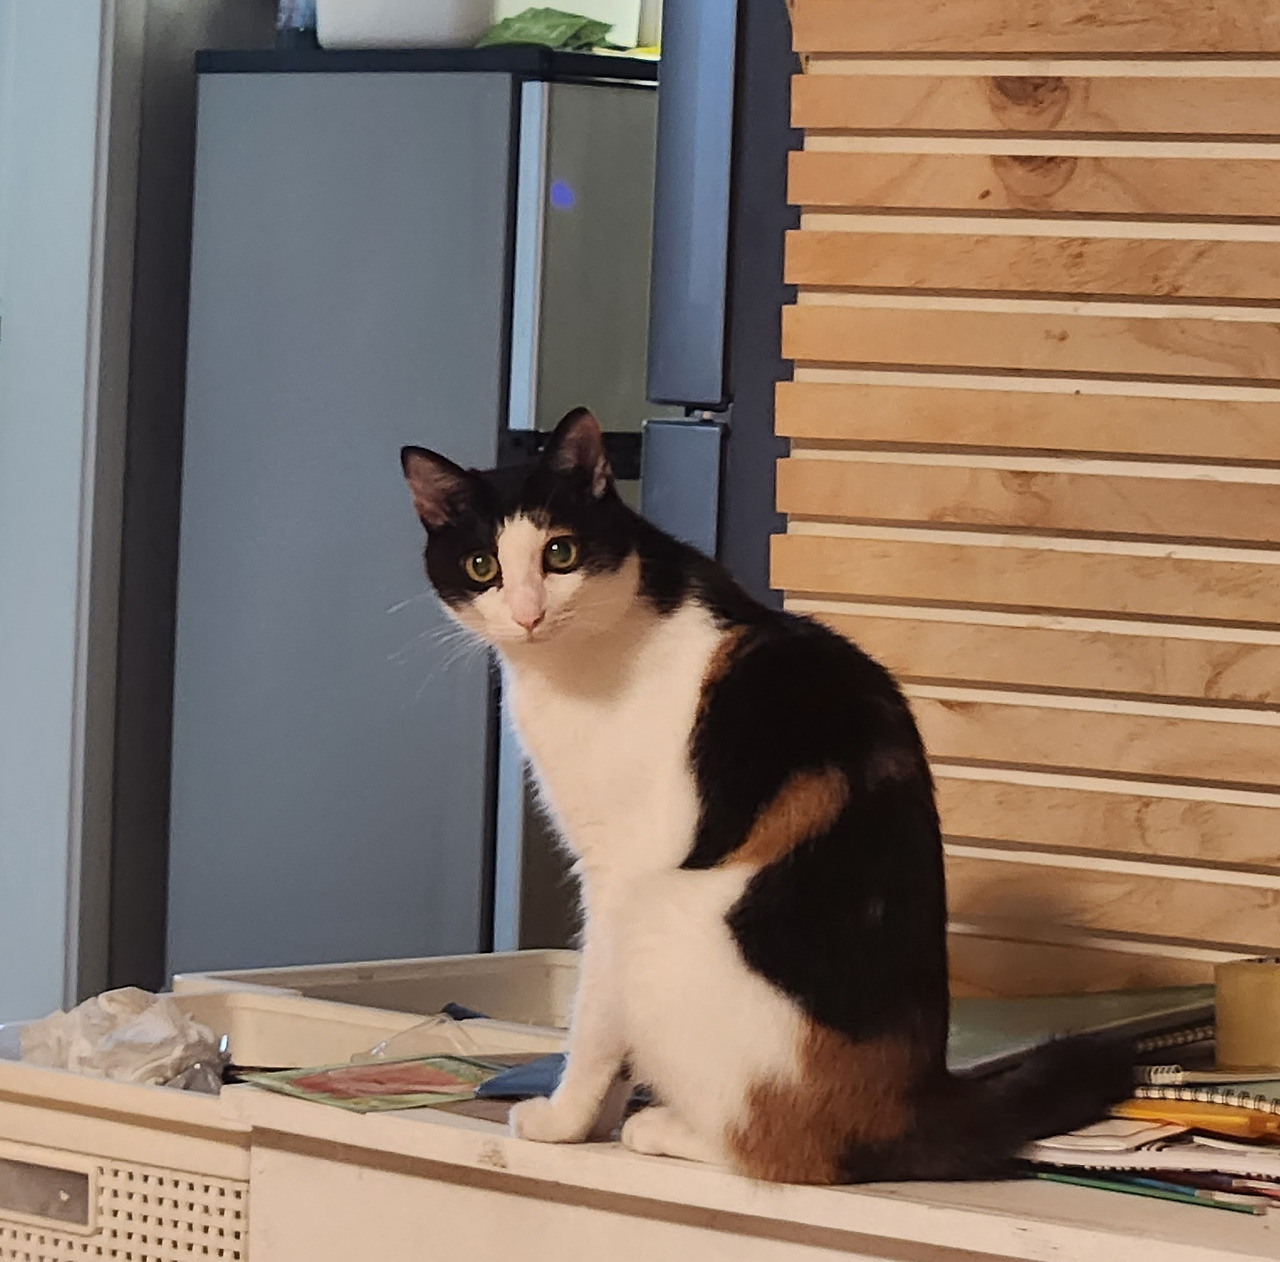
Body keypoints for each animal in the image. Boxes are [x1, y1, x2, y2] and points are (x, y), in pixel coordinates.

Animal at [400, 407, 1130, 1184]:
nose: (528, 613)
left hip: (657, 918)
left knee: (779, 1151)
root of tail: (915, 1105)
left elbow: (596, 1021)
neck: (581, 659)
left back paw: (664, 1130)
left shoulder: (616, 871)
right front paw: (591, 1123)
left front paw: (565, 1123)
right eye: (483, 567)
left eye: (559, 554)